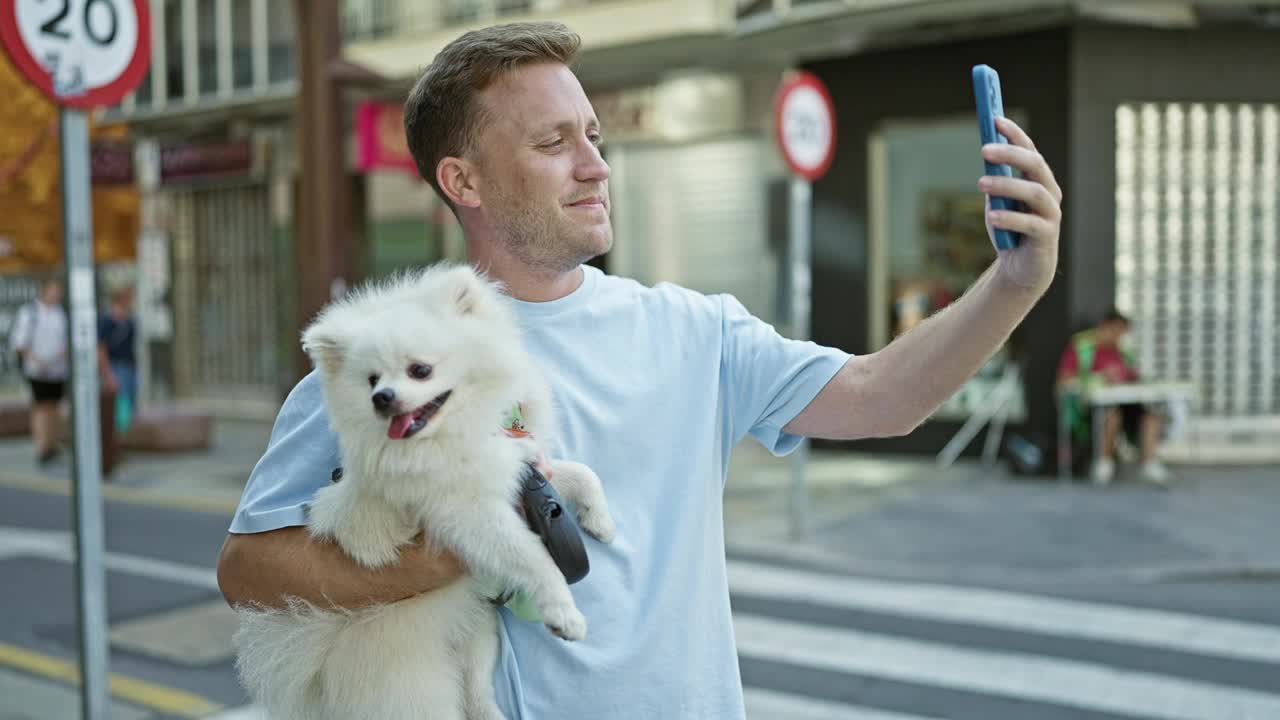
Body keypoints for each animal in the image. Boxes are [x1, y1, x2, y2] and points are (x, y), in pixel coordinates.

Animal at [238, 263, 622, 717]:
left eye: (419, 370)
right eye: (371, 380)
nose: (382, 397)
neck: (455, 431)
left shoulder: (515, 466)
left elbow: (581, 473)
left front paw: (600, 521)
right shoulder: (470, 513)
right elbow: (534, 558)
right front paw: (564, 612)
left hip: (479, 629)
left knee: (476, 685)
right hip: (414, 679)